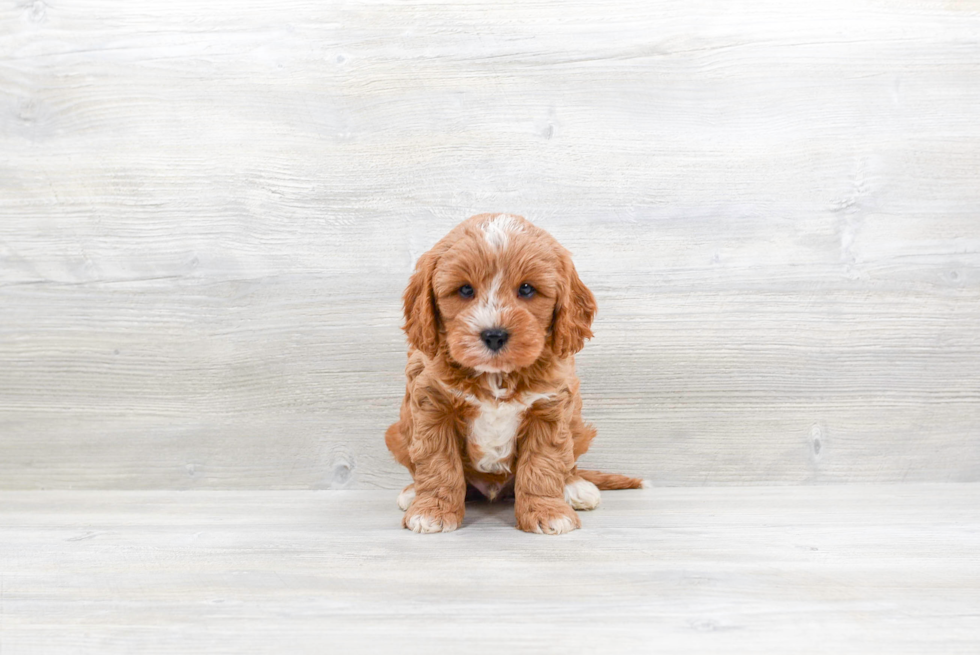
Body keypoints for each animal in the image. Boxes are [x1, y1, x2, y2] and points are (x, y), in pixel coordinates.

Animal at [386, 213, 648, 536]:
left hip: (577, 427)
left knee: (569, 464)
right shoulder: (432, 406)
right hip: (398, 432)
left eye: (526, 289)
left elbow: (544, 464)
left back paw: (576, 488)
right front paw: (431, 510)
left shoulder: (549, 409)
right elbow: (437, 464)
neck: (497, 375)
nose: (494, 335)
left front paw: (548, 512)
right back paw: (412, 492)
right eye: (465, 290)